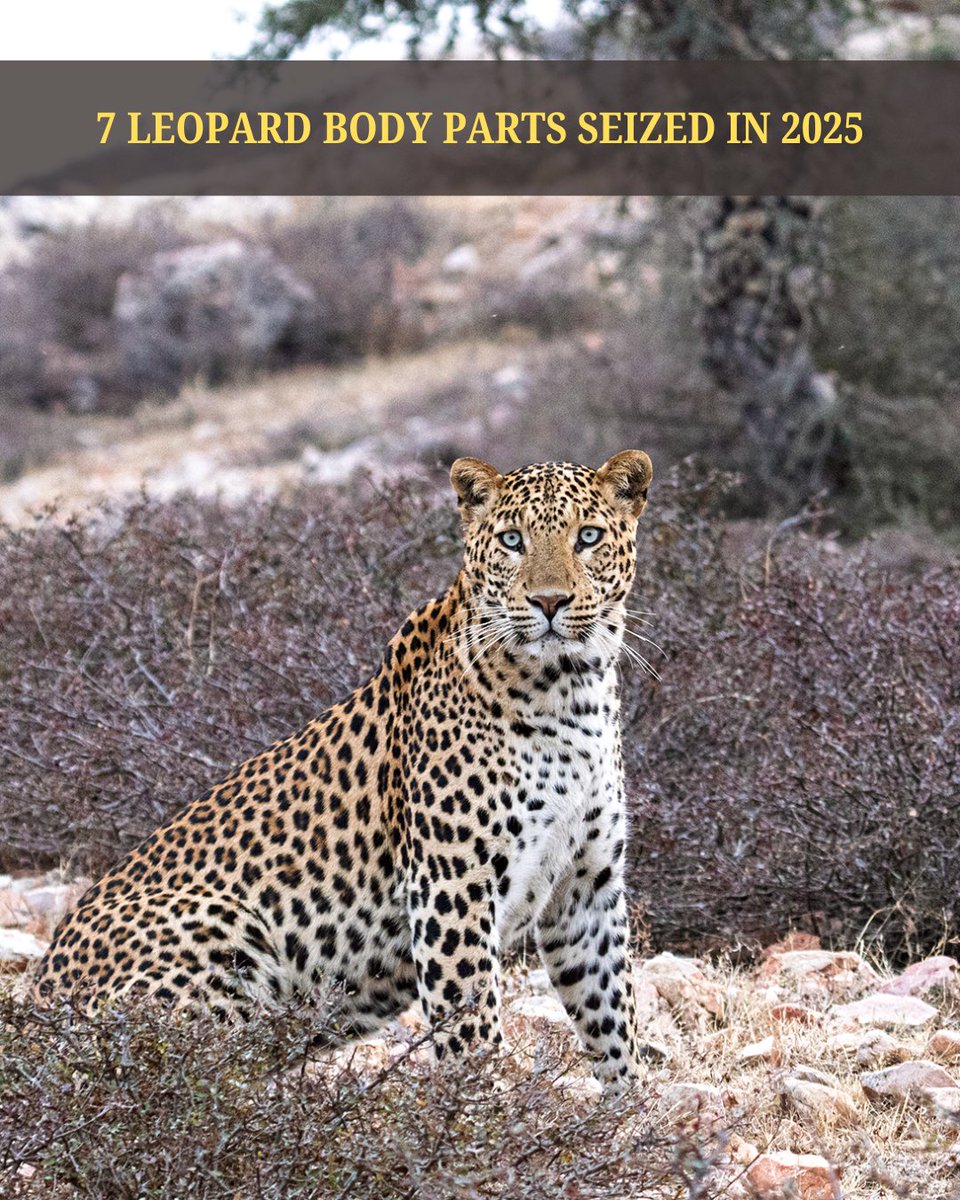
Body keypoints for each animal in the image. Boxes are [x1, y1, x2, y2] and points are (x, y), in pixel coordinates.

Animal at [32, 450, 654, 1090]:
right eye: (512, 540)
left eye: (588, 537)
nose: (550, 602)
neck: (571, 694)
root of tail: (35, 1009)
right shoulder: (452, 889)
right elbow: (473, 1032)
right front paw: (486, 1112)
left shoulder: (587, 890)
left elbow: (614, 1017)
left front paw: (632, 1111)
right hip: (223, 930)